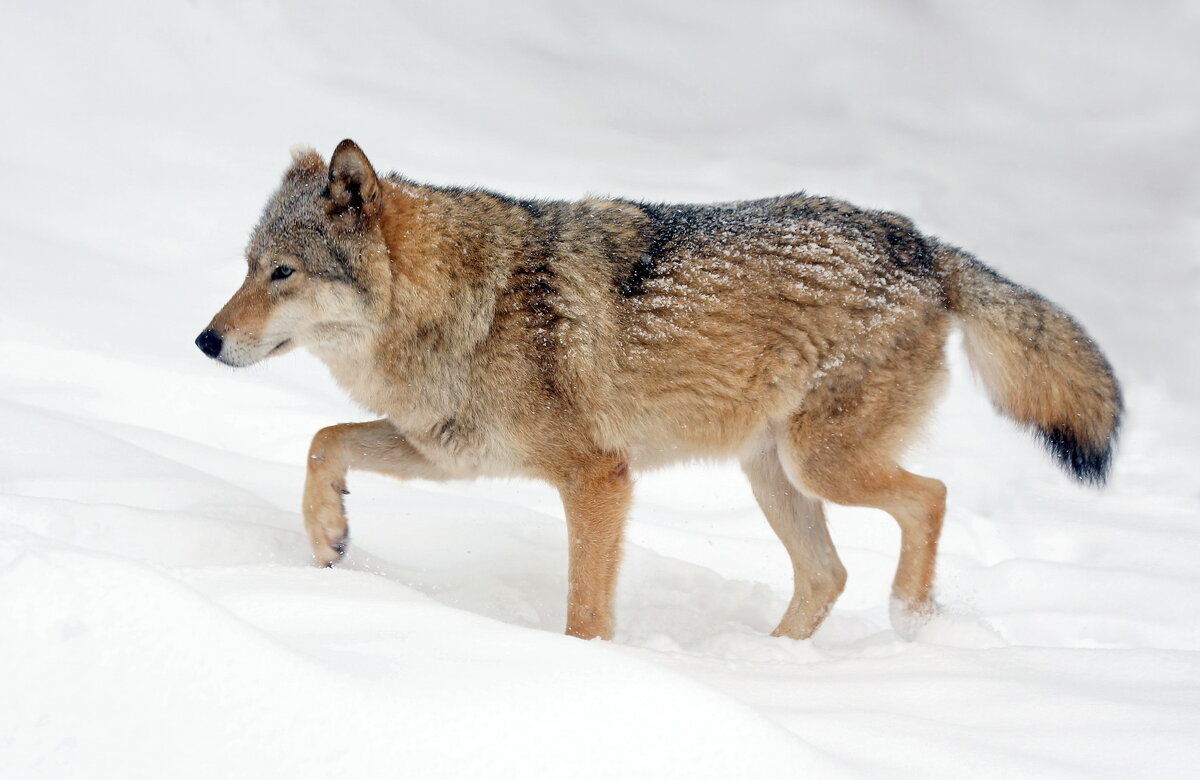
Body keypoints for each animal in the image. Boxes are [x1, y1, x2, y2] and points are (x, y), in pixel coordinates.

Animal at [192, 138, 1118, 638]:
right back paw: (770, 667)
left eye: (281, 273)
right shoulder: (450, 453)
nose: (205, 341)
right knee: (828, 575)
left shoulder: (598, 477)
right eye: (245, 266)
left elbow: (585, 609)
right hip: (773, 476)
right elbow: (323, 443)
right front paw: (326, 539)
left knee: (930, 497)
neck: (468, 302)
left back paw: (910, 622)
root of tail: (922, 244)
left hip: (818, 464)